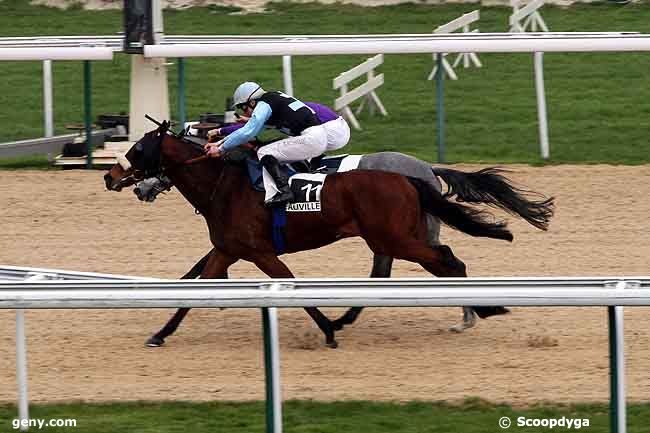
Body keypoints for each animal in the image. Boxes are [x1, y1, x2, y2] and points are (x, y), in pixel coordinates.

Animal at [106, 120, 548, 346]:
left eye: (138, 149)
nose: (111, 177)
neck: (225, 182)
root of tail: (414, 174)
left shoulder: (260, 251)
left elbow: (291, 287)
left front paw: (328, 331)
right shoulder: (228, 249)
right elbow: (194, 287)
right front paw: (160, 333)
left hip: (397, 237)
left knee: (446, 261)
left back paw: (482, 310)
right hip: (392, 237)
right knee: (411, 269)